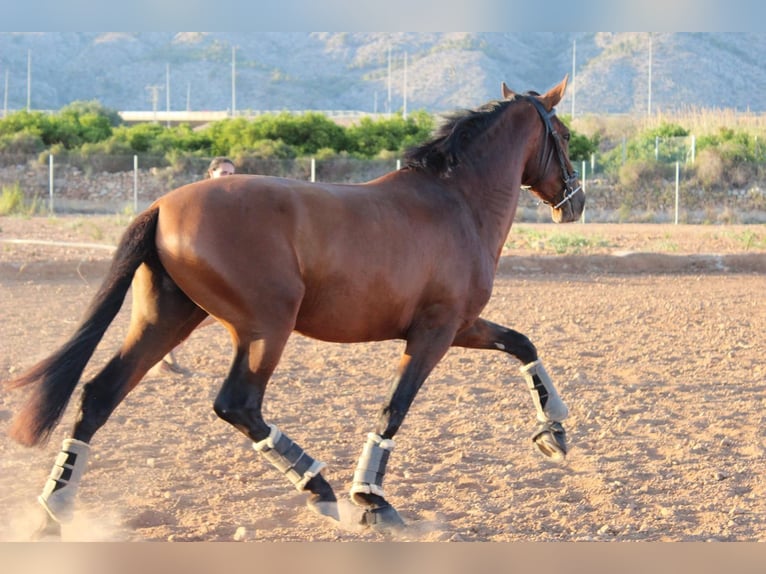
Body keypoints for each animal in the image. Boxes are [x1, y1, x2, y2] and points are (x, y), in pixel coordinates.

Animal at [3, 76, 584, 540]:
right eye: (564, 136)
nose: (575, 203)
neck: (457, 202)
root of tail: (163, 205)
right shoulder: (434, 333)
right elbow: (394, 409)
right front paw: (371, 500)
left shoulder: (462, 325)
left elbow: (522, 343)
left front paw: (553, 433)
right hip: (265, 328)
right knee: (237, 404)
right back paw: (318, 486)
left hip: (165, 320)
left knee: (100, 395)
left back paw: (54, 509)